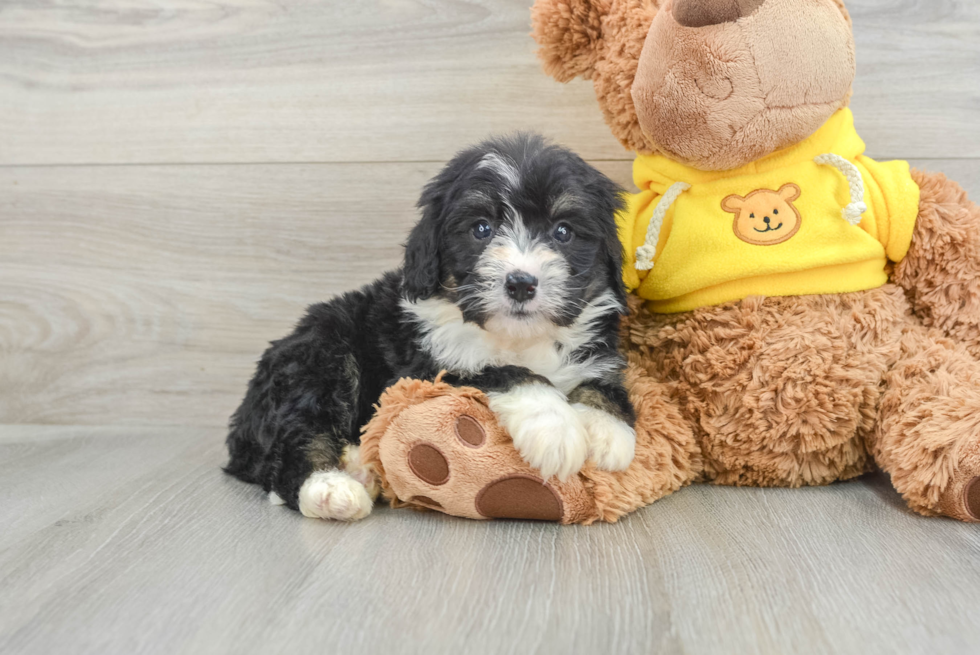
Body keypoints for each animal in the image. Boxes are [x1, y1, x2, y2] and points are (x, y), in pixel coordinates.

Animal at [224, 135, 636, 524]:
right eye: (481, 228)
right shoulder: (423, 370)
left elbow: (604, 385)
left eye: (563, 231)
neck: (519, 337)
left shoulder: (597, 349)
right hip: (322, 358)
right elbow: (502, 370)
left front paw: (606, 431)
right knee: (294, 443)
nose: (521, 283)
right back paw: (331, 489)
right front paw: (554, 427)